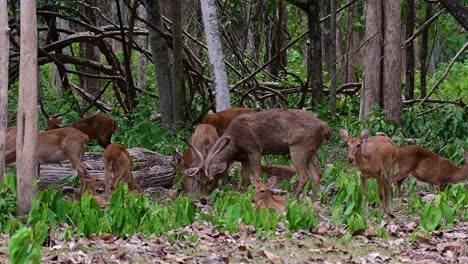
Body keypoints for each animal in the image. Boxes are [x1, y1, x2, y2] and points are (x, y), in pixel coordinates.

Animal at [185, 108, 330, 201]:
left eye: (210, 180)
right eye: (198, 180)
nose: (203, 199)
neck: (236, 145)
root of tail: (325, 128)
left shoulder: (254, 149)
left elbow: (256, 175)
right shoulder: (244, 158)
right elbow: (244, 176)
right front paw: (242, 194)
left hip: (298, 147)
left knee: (305, 176)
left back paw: (293, 199)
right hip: (311, 151)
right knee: (317, 174)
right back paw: (314, 200)